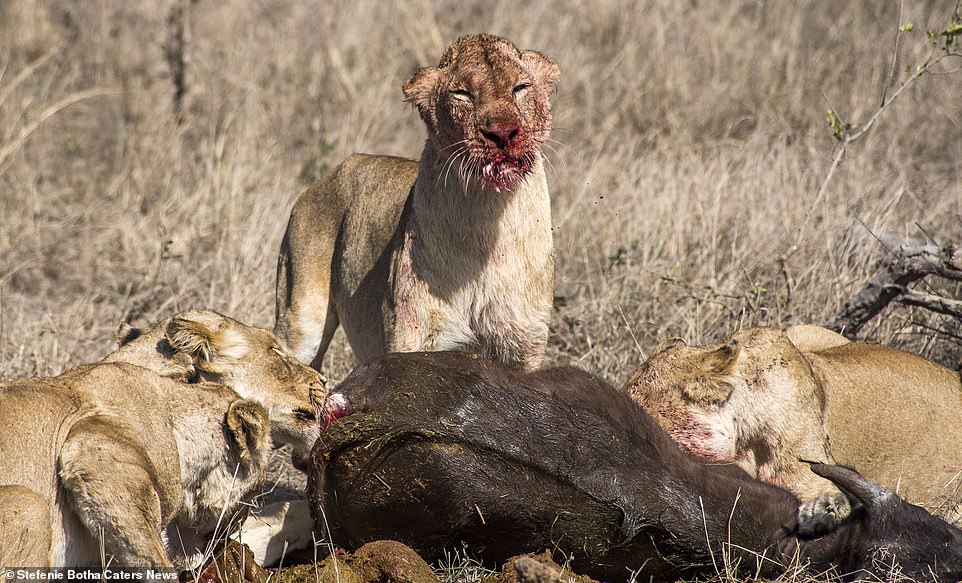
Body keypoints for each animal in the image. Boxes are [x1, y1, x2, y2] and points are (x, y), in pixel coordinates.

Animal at [270, 35, 560, 374]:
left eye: (520, 87)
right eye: (462, 94)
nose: (502, 133)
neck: (487, 224)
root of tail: (330, 175)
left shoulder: (524, 348)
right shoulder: (412, 335)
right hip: (300, 320)